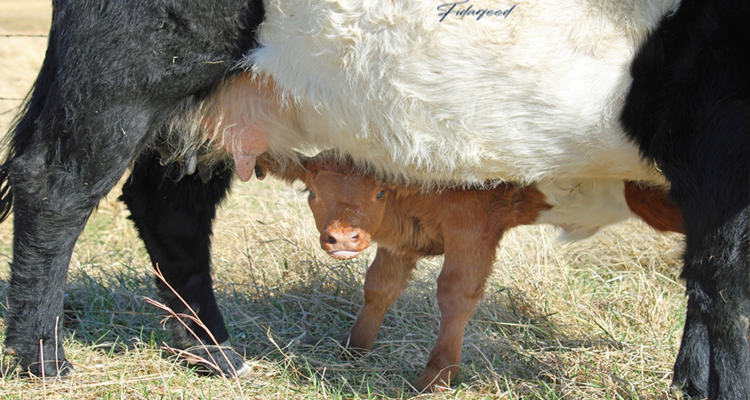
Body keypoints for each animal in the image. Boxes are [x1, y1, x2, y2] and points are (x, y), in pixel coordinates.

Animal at [256, 151, 684, 391]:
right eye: (312, 193)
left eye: (379, 192)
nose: (343, 238)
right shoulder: (400, 240)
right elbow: (379, 287)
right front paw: (353, 350)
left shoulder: (472, 225)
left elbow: (455, 295)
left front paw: (436, 378)